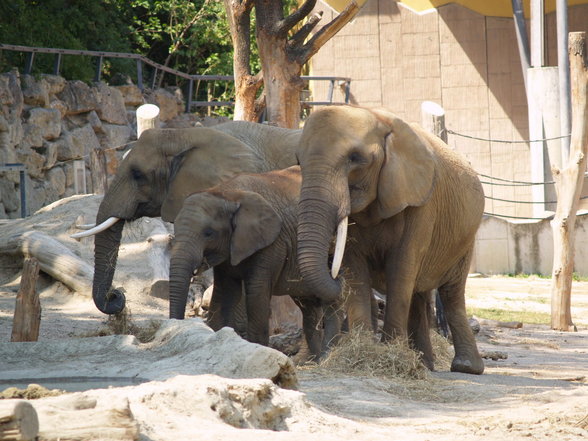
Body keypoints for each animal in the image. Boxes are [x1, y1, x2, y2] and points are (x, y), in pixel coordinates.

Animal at [169, 165, 336, 358]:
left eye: (208, 233)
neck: (228, 193)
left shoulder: (273, 242)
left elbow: (256, 293)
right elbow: (225, 291)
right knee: (308, 305)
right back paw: (317, 359)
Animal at [296, 105, 484, 372]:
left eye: (355, 158)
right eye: (298, 161)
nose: (332, 271)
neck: (378, 118)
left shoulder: (421, 203)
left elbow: (401, 266)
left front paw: (389, 353)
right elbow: (355, 269)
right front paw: (365, 352)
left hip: (466, 238)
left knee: (451, 292)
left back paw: (465, 367)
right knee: (419, 292)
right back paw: (425, 364)